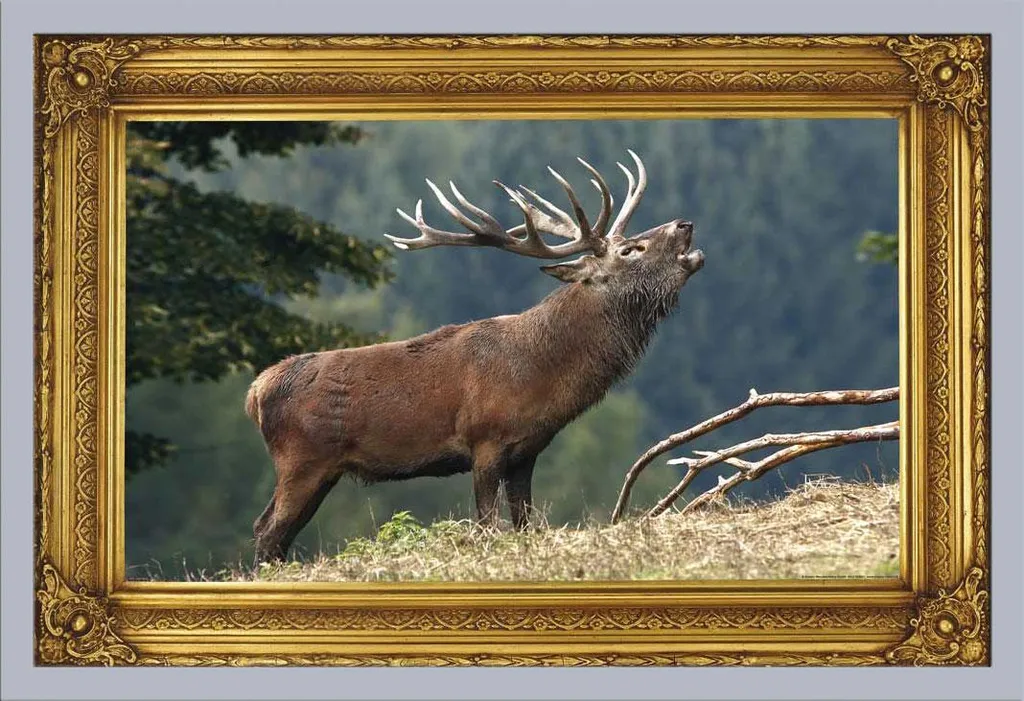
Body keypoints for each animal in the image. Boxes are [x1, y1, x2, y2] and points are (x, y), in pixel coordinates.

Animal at [246, 150, 704, 564]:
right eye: (631, 250)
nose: (685, 224)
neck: (543, 375)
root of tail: (256, 391)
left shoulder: (527, 450)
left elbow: (524, 524)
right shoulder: (484, 440)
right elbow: (487, 524)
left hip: (321, 468)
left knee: (273, 531)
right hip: (302, 458)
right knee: (268, 531)